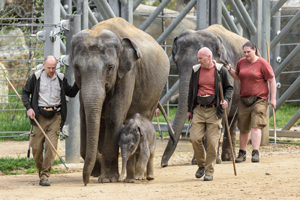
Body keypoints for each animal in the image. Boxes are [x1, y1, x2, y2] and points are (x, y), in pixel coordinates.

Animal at [70, 17, 172, 186]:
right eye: (76, 67)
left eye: (110, 67)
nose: (85, 183)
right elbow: (84, 119)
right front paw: (97, 171)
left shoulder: (127, 74)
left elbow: (114, 116)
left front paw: (107, 179)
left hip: (155, 92)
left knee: (144, 118)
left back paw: (141, 175)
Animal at [162, 23, 248, 167]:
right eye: (176, 62)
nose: (163, 163)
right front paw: (196, 161)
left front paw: (214, 160)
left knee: (233, 117)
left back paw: (228, 158)